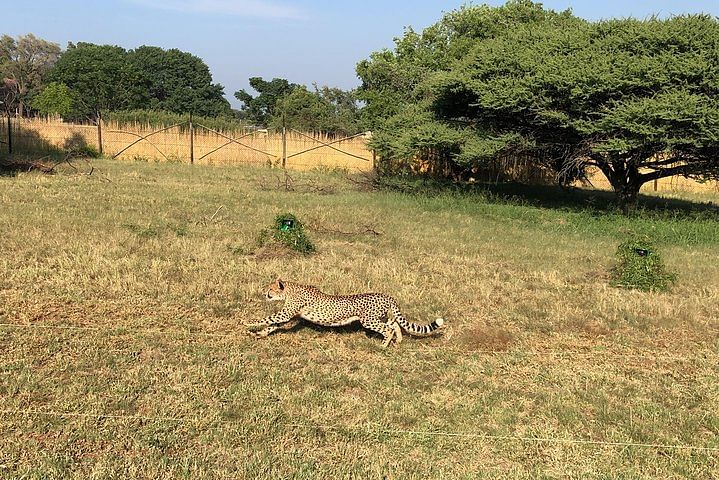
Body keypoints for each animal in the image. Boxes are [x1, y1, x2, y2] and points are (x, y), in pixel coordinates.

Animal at [244, 278, 444, 347]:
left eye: (270, 289)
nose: (264, 294)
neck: (291, 289)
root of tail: (388, 296)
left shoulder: (286, 313)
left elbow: (268, 319)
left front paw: (247, 322)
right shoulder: (288, 315)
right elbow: (273, 325)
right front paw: (259, 334)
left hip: (369, 320)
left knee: (388, 329)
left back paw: (383, 345)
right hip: (378, 317)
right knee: (394, 324)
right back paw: (399, 341)